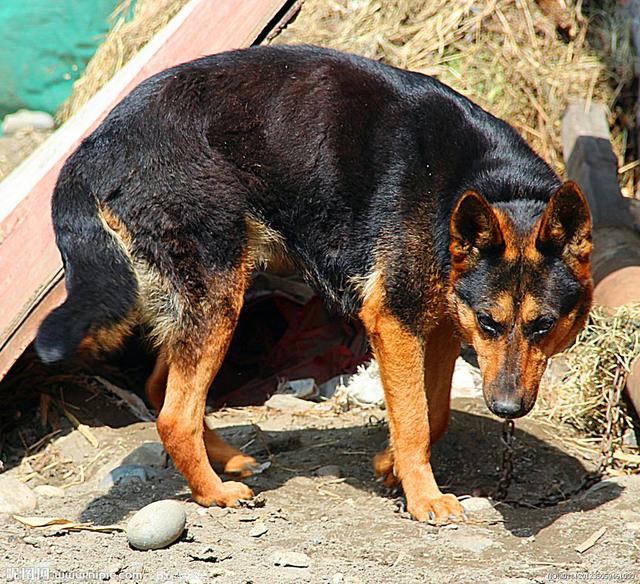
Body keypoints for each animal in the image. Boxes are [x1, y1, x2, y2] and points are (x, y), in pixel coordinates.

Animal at [36, 44, 592, 520]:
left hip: (205, 298)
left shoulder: (435, 326)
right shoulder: (396, 322)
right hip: (220, 296)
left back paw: (226, 459)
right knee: (174, 415)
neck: (489, 186)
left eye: (544, 326)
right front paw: (424, 498)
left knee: (159, 389)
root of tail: (90, 150)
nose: (507, 409)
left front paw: (393, 466)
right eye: (491, 323)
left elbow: (433, 414)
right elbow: (415, 419)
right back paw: (214, 493)